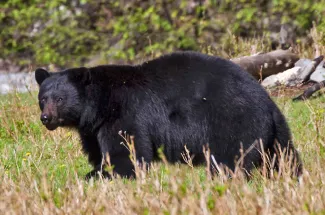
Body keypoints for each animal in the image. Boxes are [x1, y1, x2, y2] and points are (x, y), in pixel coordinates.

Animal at [34, 51, 302, 179]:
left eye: (59, 99)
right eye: (43, 99)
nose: (46, 118)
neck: (101, 104)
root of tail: (268, 103)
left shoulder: (126, 115)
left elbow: (127, 155)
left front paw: (98, 176)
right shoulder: (92, 129)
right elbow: (100, 153)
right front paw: (96, 171)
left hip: (235, 123)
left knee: (230, 160)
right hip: (274, 133)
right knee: (283, 156)